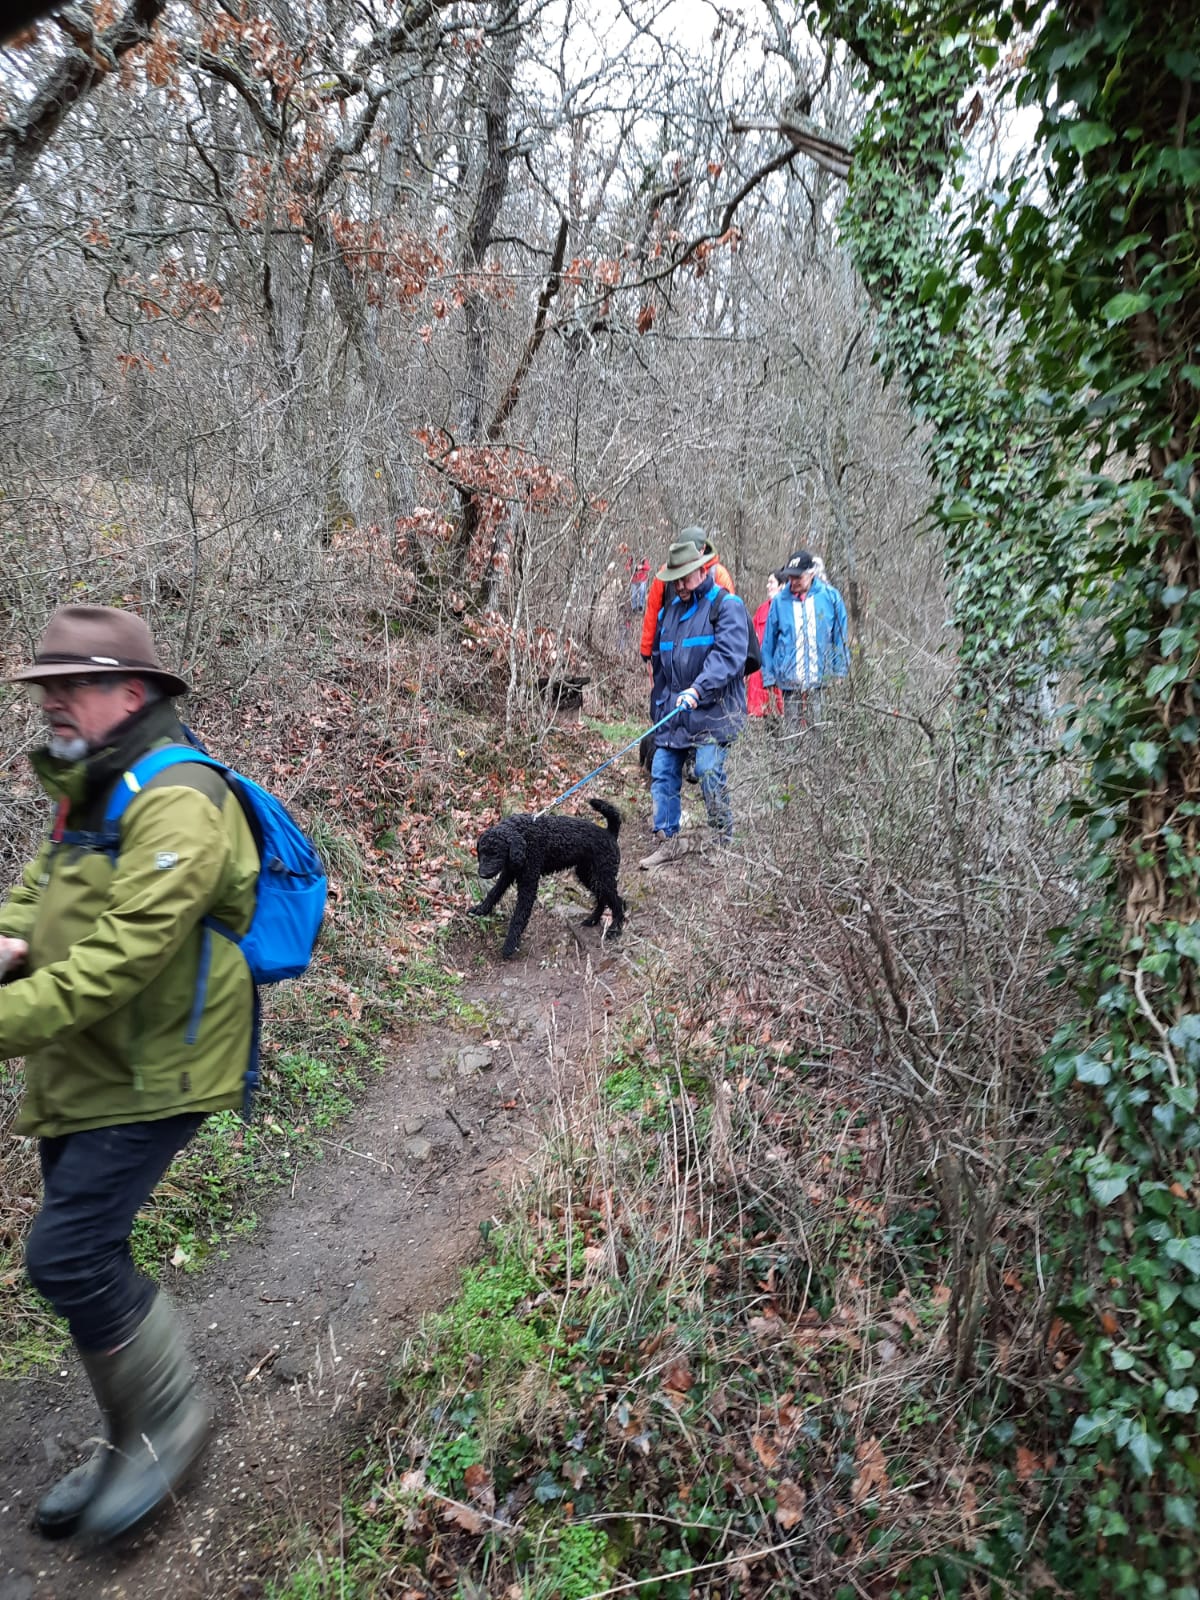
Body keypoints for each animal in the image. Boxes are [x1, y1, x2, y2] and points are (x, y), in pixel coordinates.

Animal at [470, 796, 624, 953]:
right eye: (481, 852)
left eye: (496, 853)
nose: (482, 874)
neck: (523, 835)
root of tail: (609, 833)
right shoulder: (508, 873)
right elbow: (493, 893)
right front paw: (480, 909)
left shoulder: (528, 883)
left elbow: (519, 915)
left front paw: (510, 944)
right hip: (589, 875)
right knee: (603, 899)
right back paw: (593, 919)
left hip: (603, 877)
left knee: (618, 902)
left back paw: (614, 928)